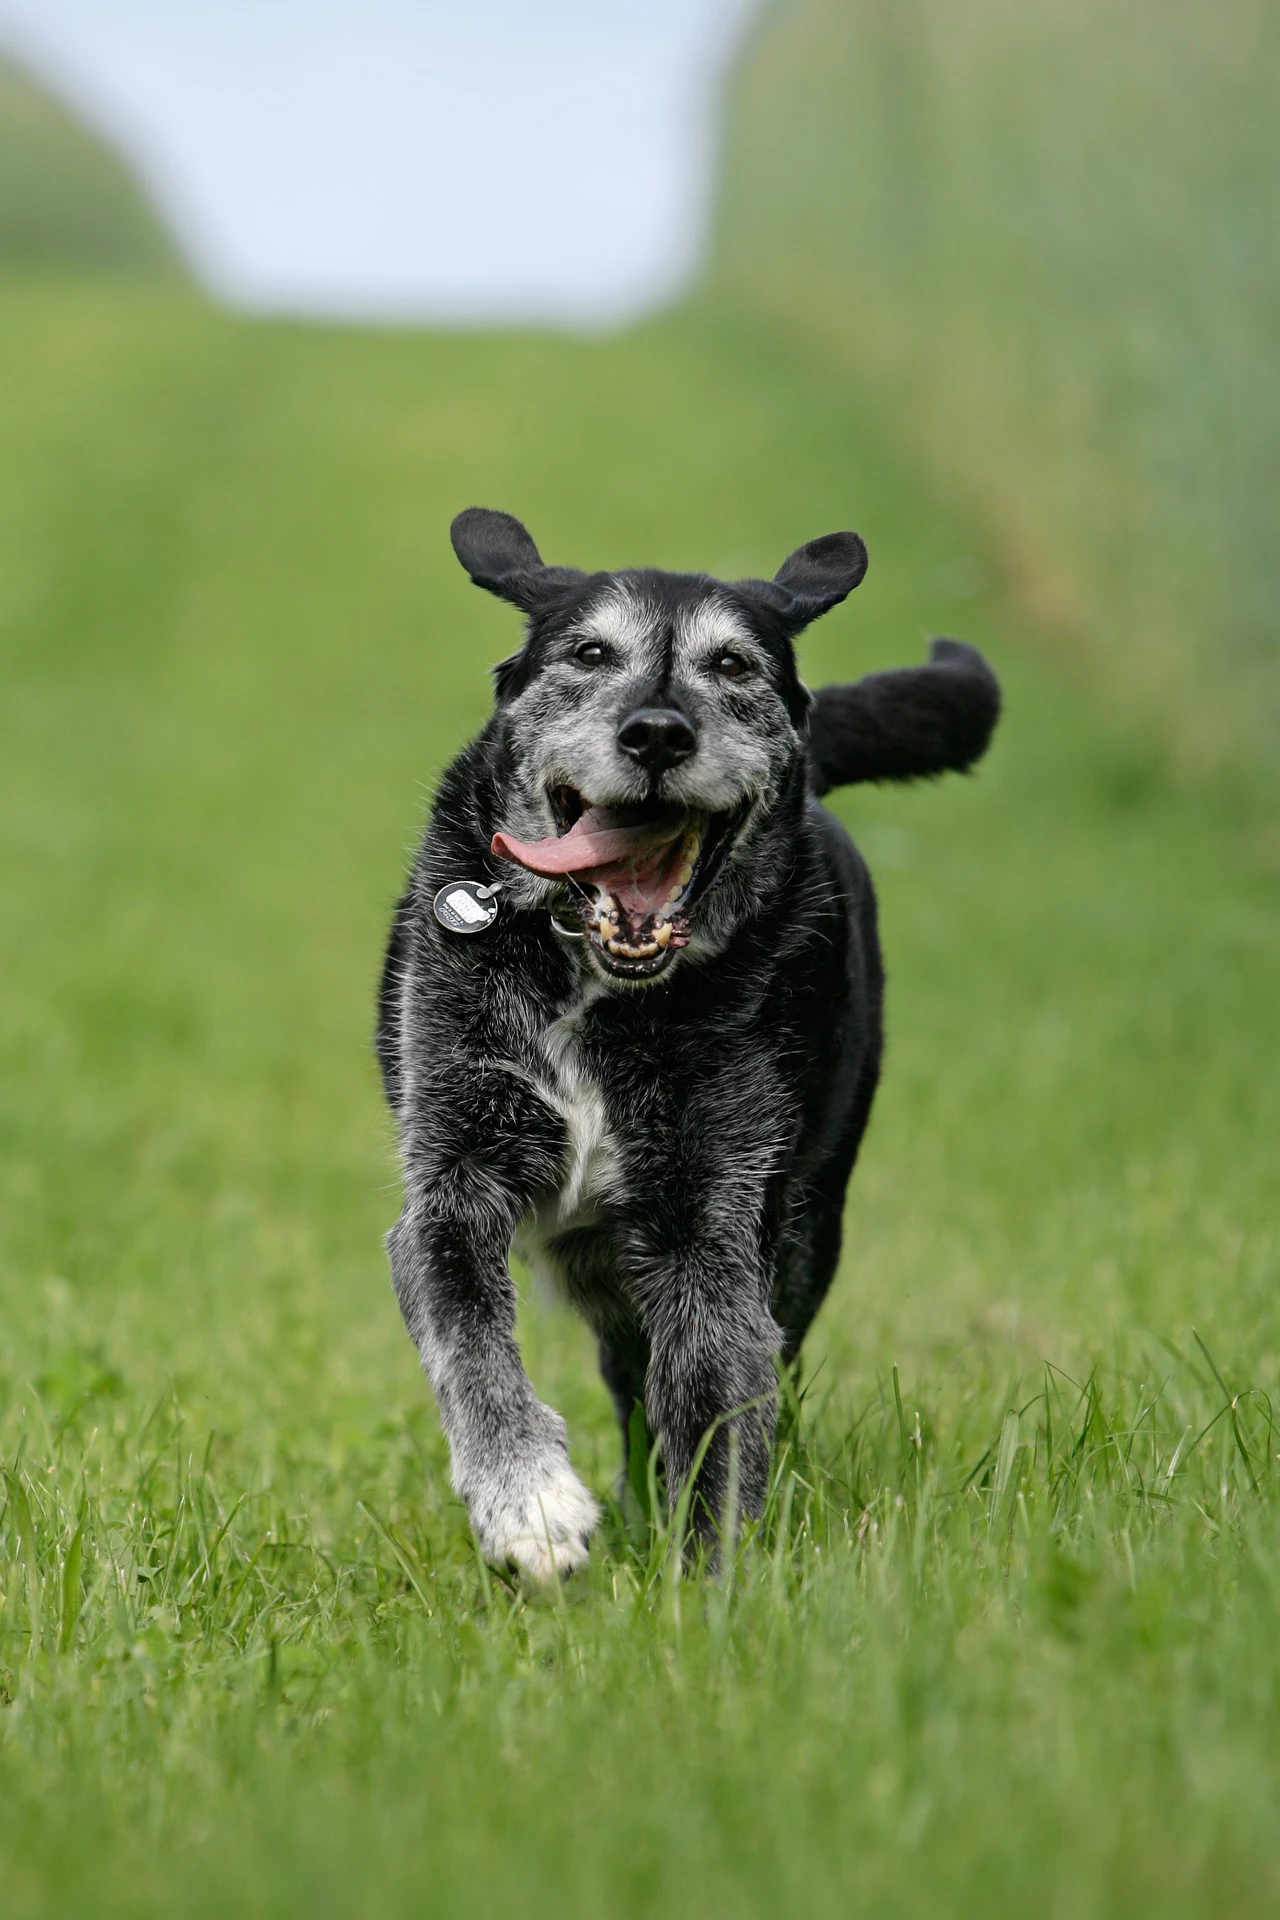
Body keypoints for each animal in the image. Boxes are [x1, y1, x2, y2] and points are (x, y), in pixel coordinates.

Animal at [376, 510, 997, 1574]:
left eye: (733, 663)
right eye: (590, 653)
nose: (659, 732)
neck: (597, 992)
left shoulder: (710, 1219)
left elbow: (713, 1403)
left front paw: (709, 1581)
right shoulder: (451, 1180)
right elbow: (469, 1338)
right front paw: (529, 1501)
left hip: (802, 1225)